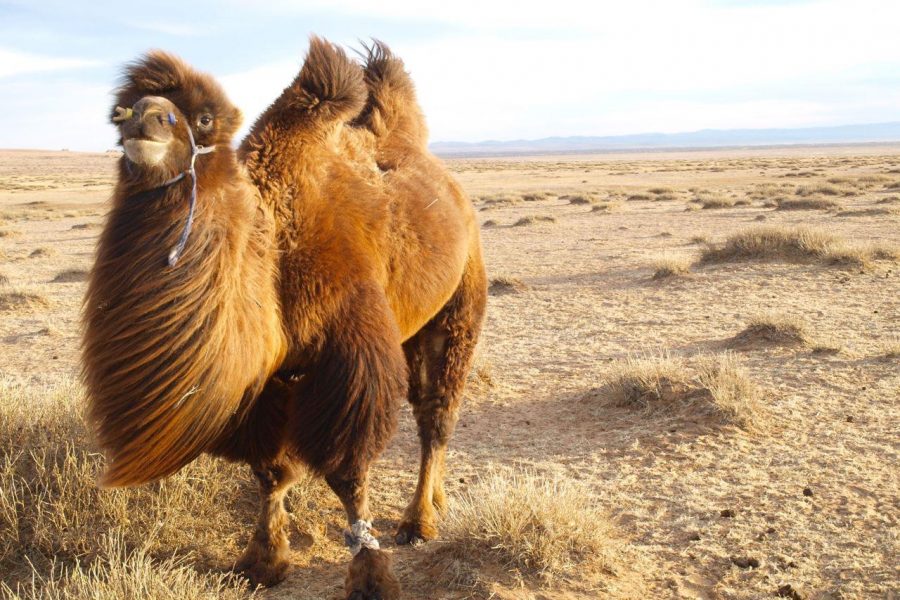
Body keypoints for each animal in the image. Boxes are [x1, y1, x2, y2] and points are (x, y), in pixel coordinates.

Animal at [85, 38, 488, 600]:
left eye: (204, 119)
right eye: (118, 112)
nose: (144, 119)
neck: (273, 246)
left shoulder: (350, 354)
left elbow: (348, 472)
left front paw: (370, 574)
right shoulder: (268, 379)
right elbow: (270, 470)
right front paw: (262, 561)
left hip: (460, 304)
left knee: (437, 414)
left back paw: (418, 521)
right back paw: (437, 503)